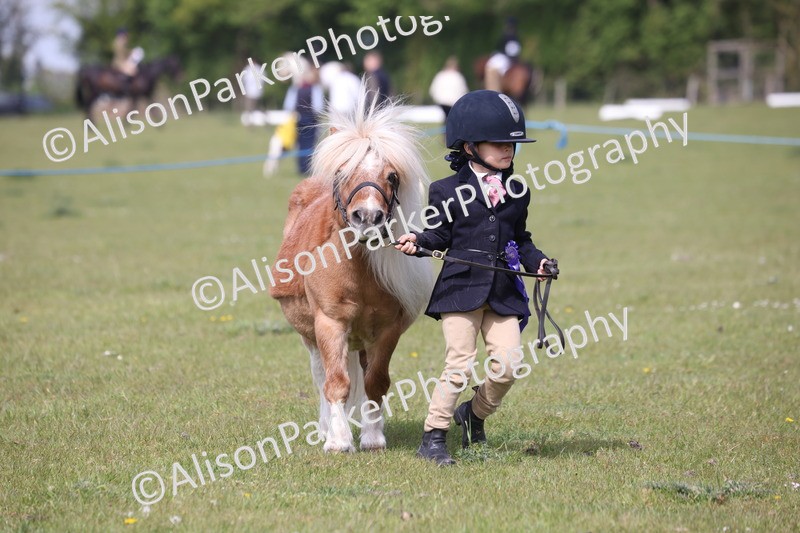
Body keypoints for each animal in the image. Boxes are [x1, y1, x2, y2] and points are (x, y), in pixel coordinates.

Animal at [269, 86, 434, 453]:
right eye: (343, 172)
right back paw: (326, 428)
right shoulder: (329, 324)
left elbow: (375, 382)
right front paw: (339, 440)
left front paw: (372, 437)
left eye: (392, 176)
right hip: (311, 335)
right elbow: (335, 383)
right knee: (321, 376)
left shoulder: (387, 329)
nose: (368, 217)